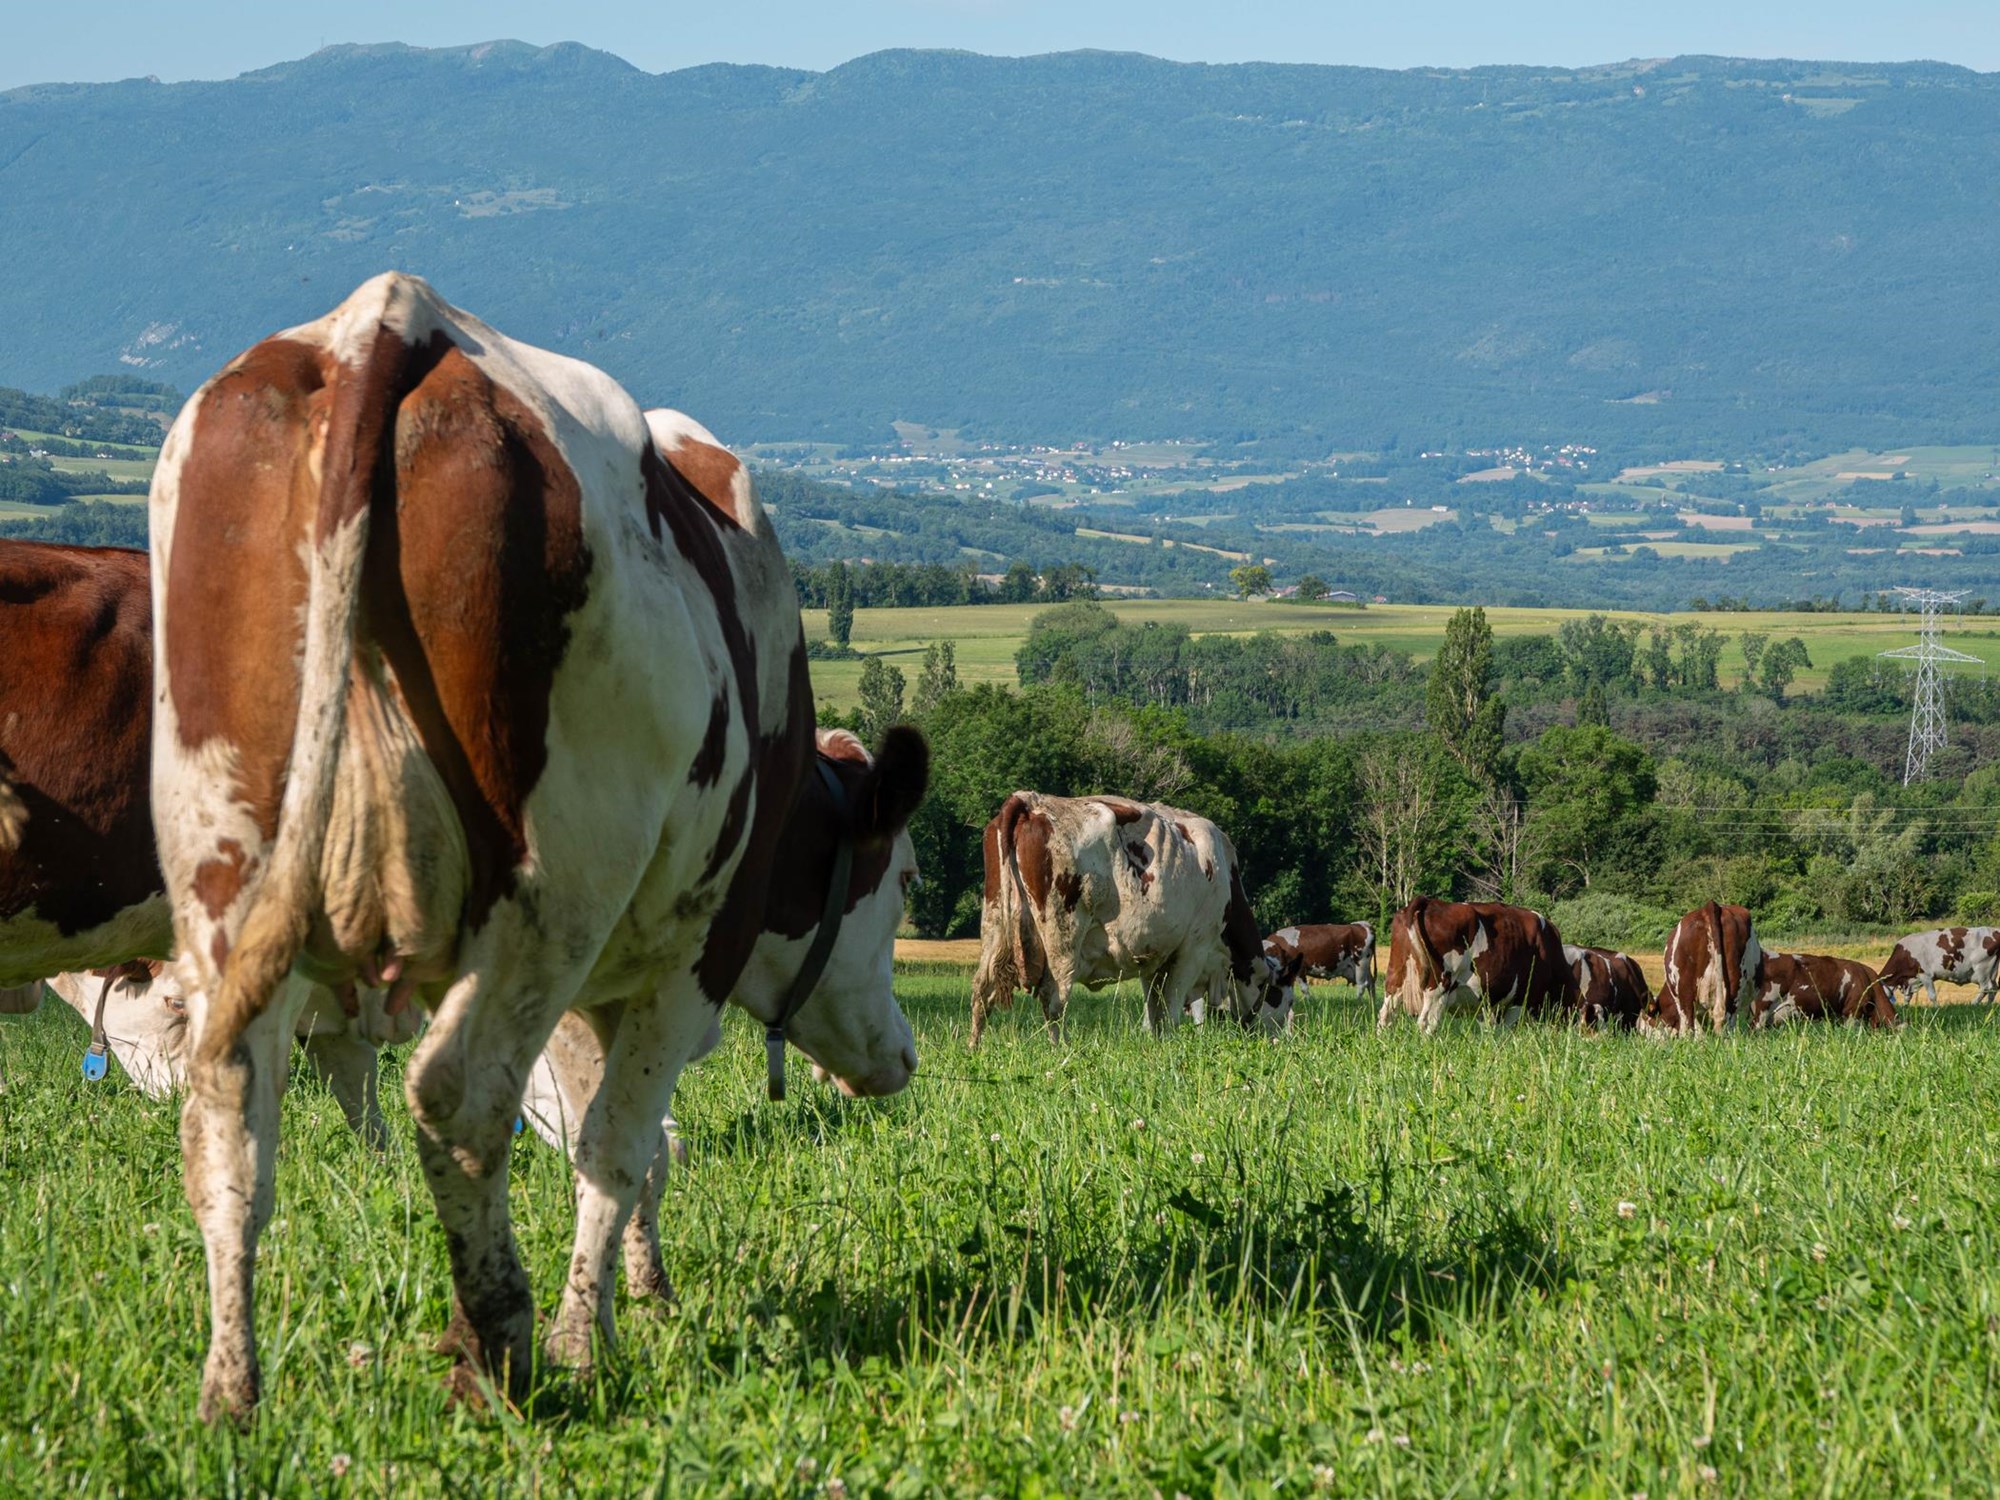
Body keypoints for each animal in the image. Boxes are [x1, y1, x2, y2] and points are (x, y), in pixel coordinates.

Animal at [152, 280, 924, 1424]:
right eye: (901, 878)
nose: (901, 1055)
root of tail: (387, 321)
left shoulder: (593, 970)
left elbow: (626, 1149)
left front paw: (631, 1298)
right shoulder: (686, 951)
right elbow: (618, 1141)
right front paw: (583, 1340)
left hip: (231, 868)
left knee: (229, 1115)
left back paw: (231, 1394)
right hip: (544, 889)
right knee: (460, 1098)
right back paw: (501, 1350)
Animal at [972, 800, 1280, 1048]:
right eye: (1274, 993)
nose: (1274, 1036)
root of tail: (1029, 801)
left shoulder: (1154, 958)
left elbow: (1154, 1008)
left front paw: (1157, 1043)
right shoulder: (1193, 949)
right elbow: (1171, 1008)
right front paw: (1170, 1044)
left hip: (993, 924)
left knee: (982, 990)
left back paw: (975, 1048)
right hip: (1062, 940)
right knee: (1053, 999)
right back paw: (1062, 1049)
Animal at [1376, 892, 1576, 1032]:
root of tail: (1428, 902)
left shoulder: (1487, 1004)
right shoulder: (1522, 999)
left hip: (1395, 979)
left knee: (1385, 1017)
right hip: (1438, 987)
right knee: (1426, 1023)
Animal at [1640, 904, 1768, 1032]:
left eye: (1650, 1024)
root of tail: (1711, 906)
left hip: (1685, 988)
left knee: (1689, 1023)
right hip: (1734, 983)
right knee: (1725, 1017)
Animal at [1872, 928, 2000, 1012]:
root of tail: (1994, 931)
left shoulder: (1925, 975)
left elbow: (1932, 995)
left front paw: (1936, 1008)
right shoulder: (1910, 980)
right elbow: (1908, 997)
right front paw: (1905, 1007)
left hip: (1982, 968)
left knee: (1985, 987)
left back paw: (1973, 1004)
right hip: (1992, 971)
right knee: (1994, 988)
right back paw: (1988, 1006)